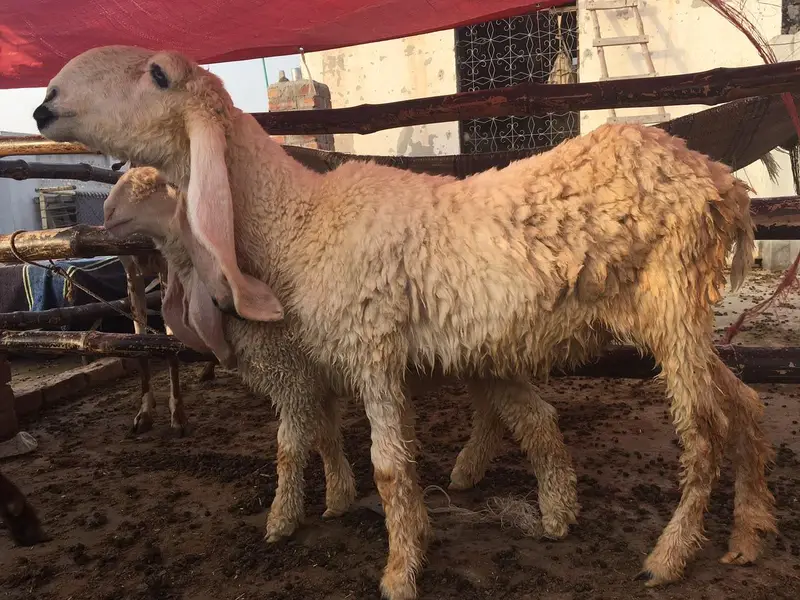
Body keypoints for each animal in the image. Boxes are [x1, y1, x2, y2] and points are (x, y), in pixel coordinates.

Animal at [102, 165, 579, 544]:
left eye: (159, 184)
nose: (106, 214)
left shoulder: (293, 377)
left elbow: (291, 448)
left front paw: (282, 520)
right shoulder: (317, 382)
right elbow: (326, 438)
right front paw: (338, 497)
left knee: (532, 418)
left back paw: (553, 515)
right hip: (478, 358)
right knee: (506, 414)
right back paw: (474, 474)